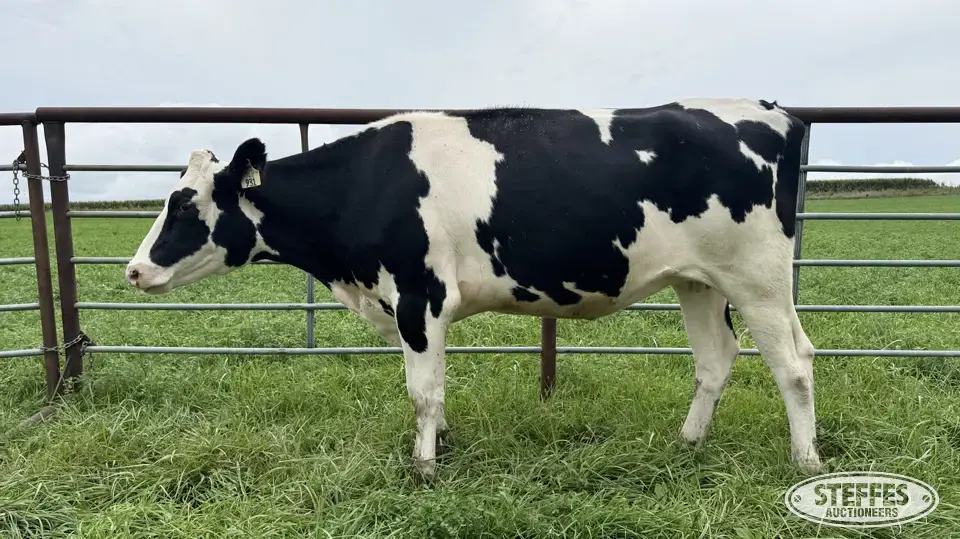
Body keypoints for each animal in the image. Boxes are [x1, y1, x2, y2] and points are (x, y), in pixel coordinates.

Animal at [125, 98, 821, 480]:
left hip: (758, 278)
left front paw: (425, 466)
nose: (133, 270)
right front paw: (440, 445)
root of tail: (770, 111)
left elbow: (422, 391)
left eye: (184, 205)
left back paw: (806, 461)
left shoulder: (419, 297)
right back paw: (688, 444)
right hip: (698, 280)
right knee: (717, 359)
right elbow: (431, 389)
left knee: (793, 363)